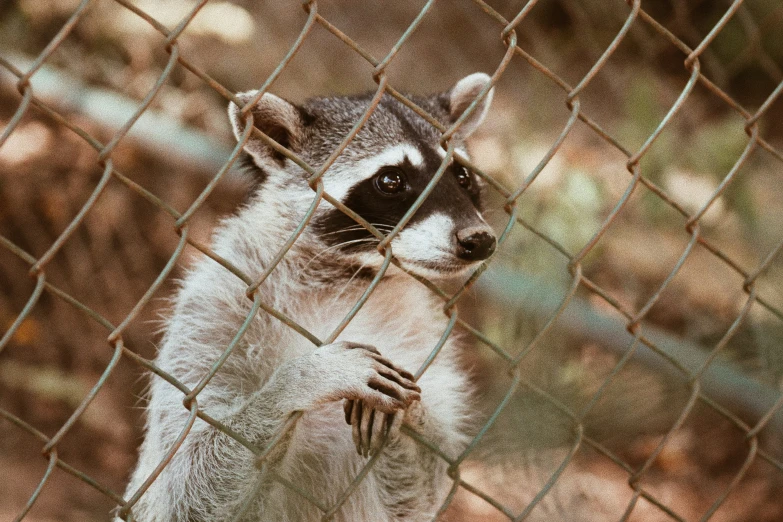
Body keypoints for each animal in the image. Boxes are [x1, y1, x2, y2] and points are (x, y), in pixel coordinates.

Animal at [122, 71, 500, 516]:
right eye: (391, 180)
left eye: (462, 176)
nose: (479, 240)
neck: (345, 279)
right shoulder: (210, 312)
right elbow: (188, 488)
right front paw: (301, 380)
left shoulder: (424, 338)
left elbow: (422, 491)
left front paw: (412, 413)